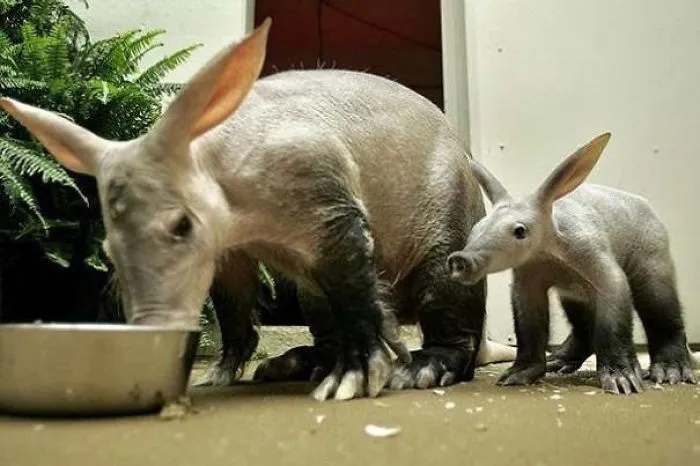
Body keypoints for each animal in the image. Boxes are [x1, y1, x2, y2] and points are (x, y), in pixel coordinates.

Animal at [1, 19, 511, 401]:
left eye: (181, 225)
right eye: (106, 249)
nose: (152, 333)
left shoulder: (322, 193)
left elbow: (353, 278)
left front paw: (355, 380)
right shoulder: (230, 247)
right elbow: (232, 299)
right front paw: (218, 375)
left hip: (449, 232)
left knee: (452, 319)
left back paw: (416, 369)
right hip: (310, 294)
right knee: (323, 319)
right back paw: (295, 363)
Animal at [447, 133, 697, 394]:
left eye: (520, 231)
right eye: (476, 228)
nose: (460, 260)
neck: (549, 252)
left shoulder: (594, 257)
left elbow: (613, 308)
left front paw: (621, 379)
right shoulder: (529, 274)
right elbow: (529, 322)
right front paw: (518, 374)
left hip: (652, 253)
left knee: (660, 306)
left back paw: (670, 371)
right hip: (573, 294)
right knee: (582, 324)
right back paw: (559, 361)